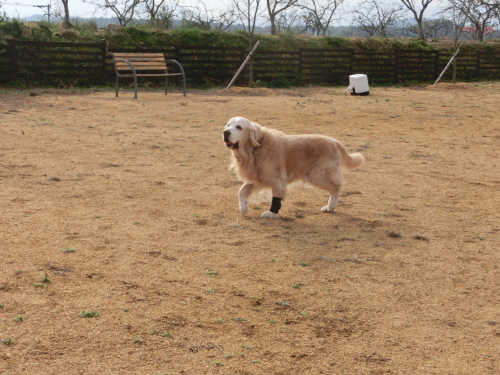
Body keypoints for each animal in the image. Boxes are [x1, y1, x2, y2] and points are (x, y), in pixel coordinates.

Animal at [223, 116, 364, 219]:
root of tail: (336, 142)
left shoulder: (276, 179)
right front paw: (243, 207)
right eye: (228, 125)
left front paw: (272, 213)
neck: (256, 147)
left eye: (239, 127)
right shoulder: (259, 178)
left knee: (336, 187)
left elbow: (276, 198)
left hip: (316, 175)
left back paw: (330, 206)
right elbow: (241, 191)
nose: (225, 132)